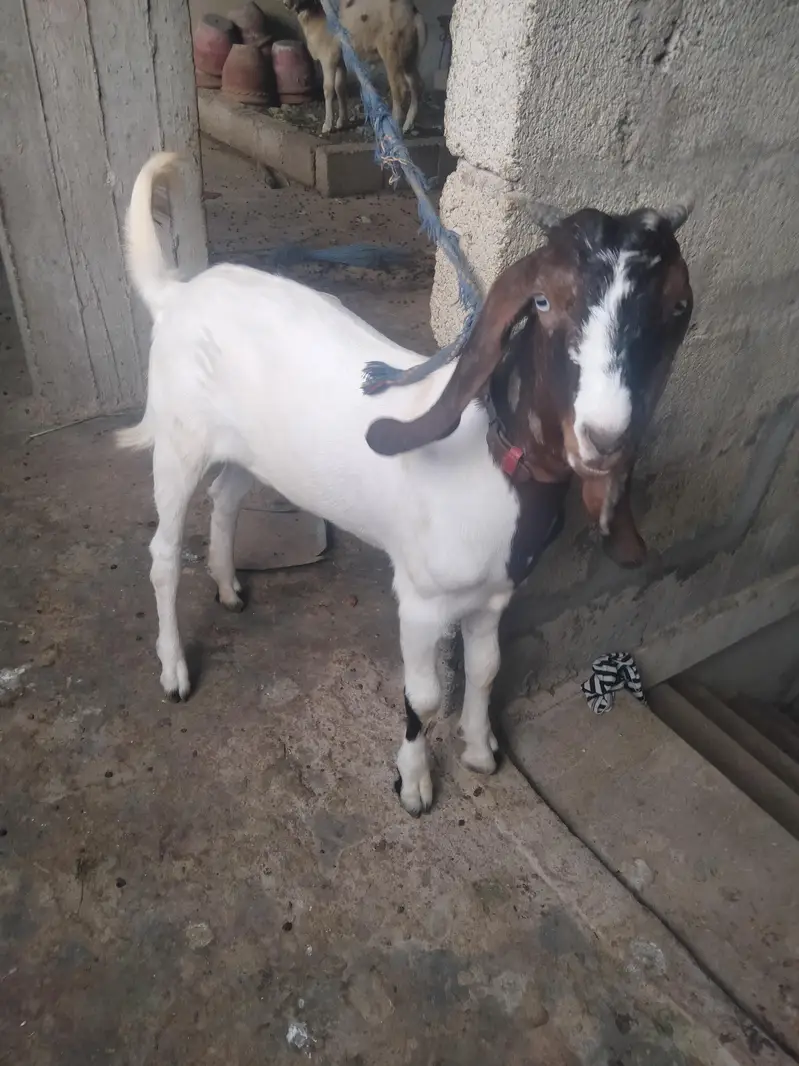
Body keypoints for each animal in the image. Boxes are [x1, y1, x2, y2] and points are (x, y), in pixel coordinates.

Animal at [118, 153, 693, 816]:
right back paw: (175, 670)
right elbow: (424, 696)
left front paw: (480, 750)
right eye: (545, 300)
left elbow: (487, 668)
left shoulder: (494, 596)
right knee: (163, 552)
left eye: (676, 310)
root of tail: (178, 292)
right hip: (179, 440)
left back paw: (230, 587)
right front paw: (413, 783)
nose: (604, 437)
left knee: (227, 498)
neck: (489, 457)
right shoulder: (419, 598)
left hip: (251, 449)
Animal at [283, 0, 426, 134]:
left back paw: (396, 126)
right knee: (416, 85)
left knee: (400, 89)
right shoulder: (340, 61)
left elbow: (328, 89)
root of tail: (414, 14)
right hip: (408, 55)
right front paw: (341, 122)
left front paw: (327, 125)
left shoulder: (328, 58)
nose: (285, 4)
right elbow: (340, 88)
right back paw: (407, 125)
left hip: (392, 52)